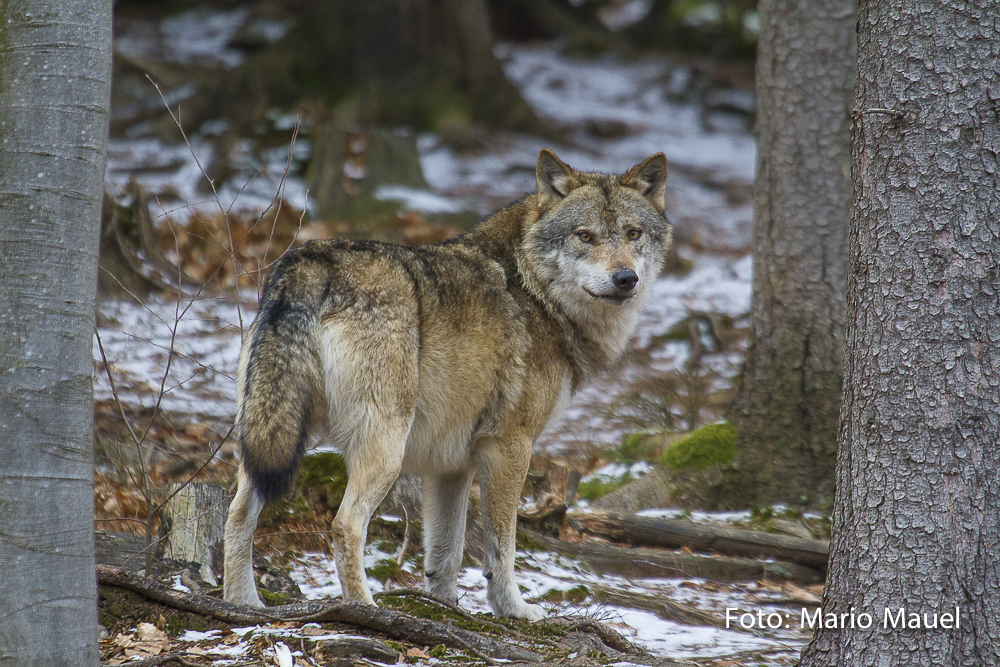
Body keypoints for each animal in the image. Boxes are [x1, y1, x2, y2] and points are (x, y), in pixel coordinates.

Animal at [225, 149, 672, 620]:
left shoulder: (450, 466)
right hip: (384, 448)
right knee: (345, 525)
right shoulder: (509, 446)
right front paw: (515, 611)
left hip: (273, 434)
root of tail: (309, 261)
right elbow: (502, 546)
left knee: (237, 513)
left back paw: (244, 604)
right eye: (585, 236)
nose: (626, 278)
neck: (535, 291)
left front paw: (444, 607)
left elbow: (446, 554)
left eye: (633, 233)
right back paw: (367, 609)